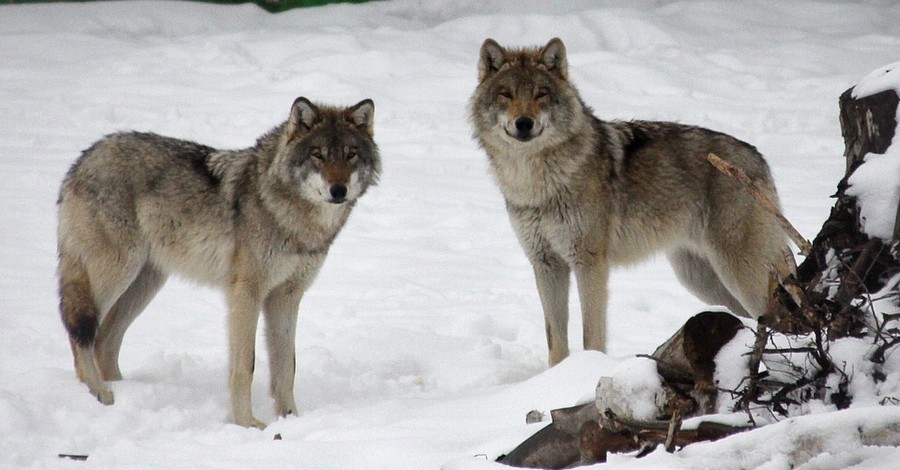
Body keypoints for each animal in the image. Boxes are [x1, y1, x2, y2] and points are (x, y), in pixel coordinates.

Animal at [56, 97, 380, 428]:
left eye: (351, 155)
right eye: (318, 155)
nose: (338, 190)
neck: (290, 216)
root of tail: (83, 159)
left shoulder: (287, 296)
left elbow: (286, 366)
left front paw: (291, 419)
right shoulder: (246, 293)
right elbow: (246, 365)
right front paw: (247, 424)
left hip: (145, 284)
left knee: (104, 339)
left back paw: (123, 390)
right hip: (117, 272)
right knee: (80, 331)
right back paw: (99, 392)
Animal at [472, 38, 788, 366]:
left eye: (541, 94)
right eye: (506, 94)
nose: (524, 123)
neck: (536, 183)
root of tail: (758, 158)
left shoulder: (589, 261)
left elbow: (591, 334)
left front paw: (589, 368)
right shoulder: (546, 263)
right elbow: (555, 340)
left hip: (738, 275)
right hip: (703, 281)